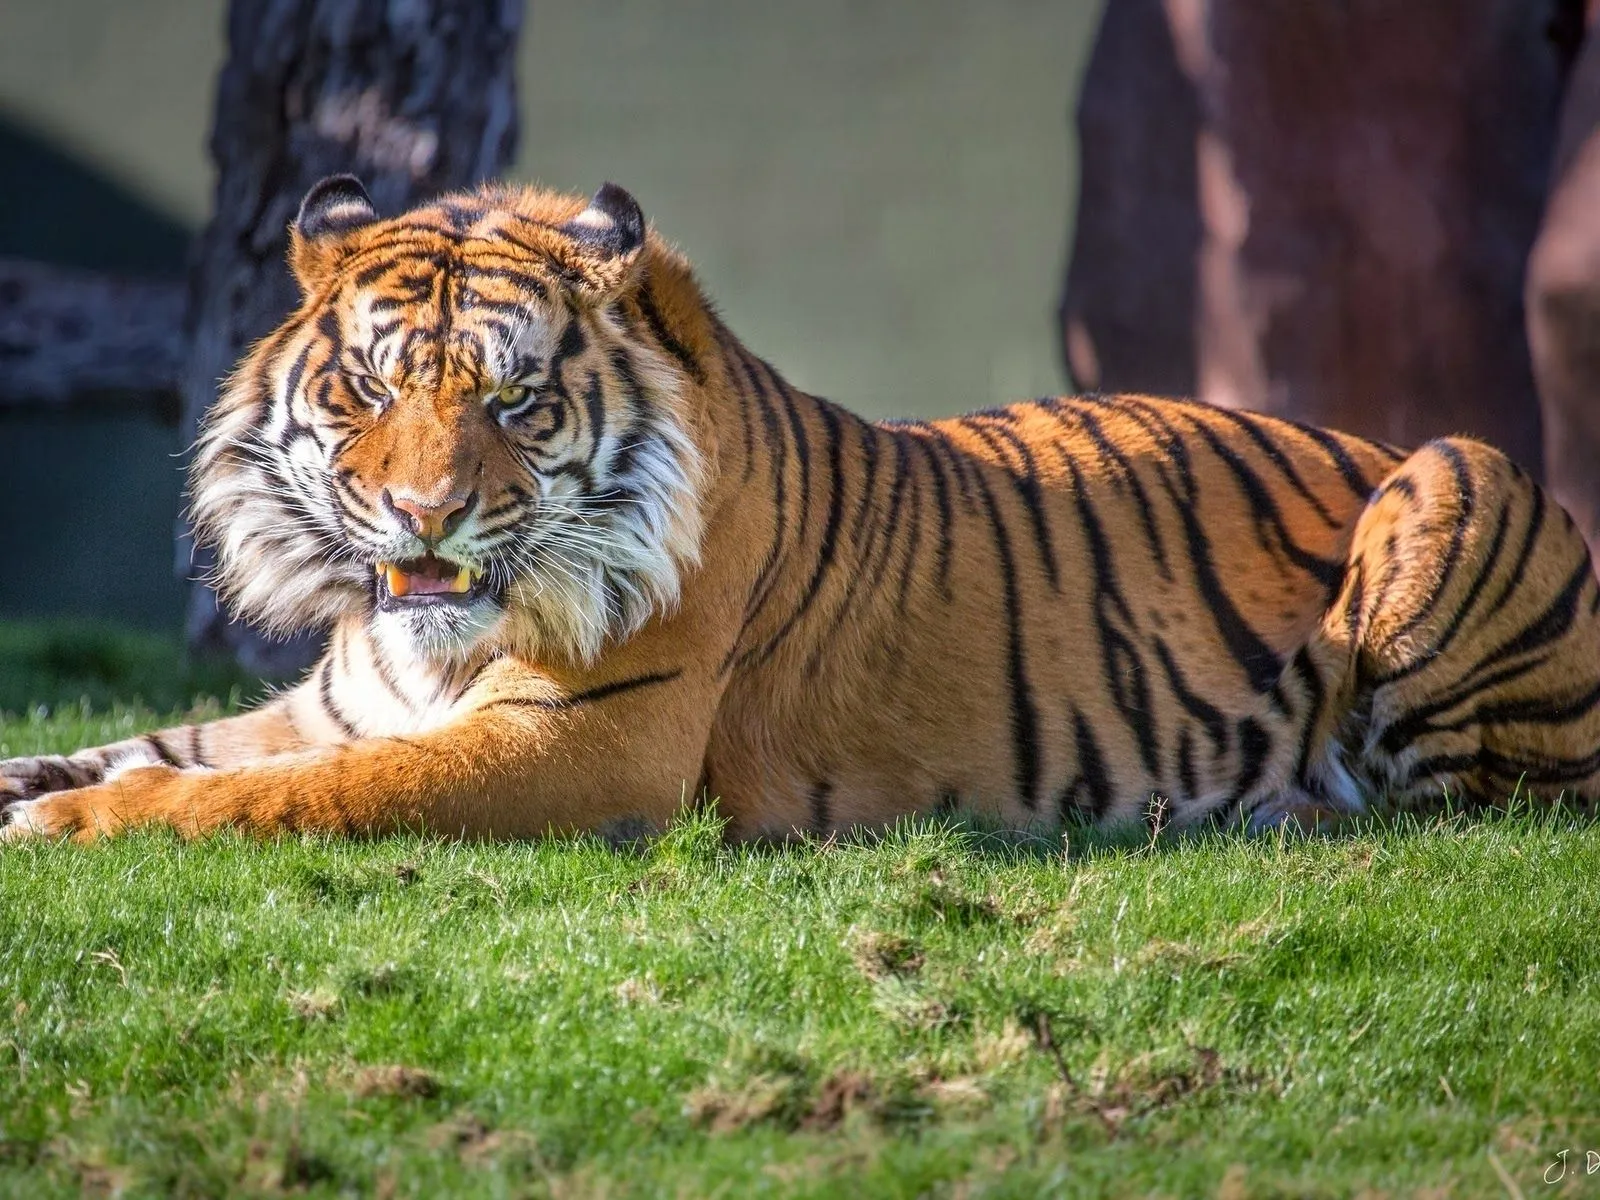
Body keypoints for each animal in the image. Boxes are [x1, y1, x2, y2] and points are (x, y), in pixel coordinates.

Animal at [3, 178, 1600, 844]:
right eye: (368, 392)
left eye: (514, 400)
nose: (423, 516)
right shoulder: (337, 705)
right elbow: (154, 744)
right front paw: (45, 785)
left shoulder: (582, 747)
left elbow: (286, 793)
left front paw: (73, 827)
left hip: (1453, 472)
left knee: (1478, 803)